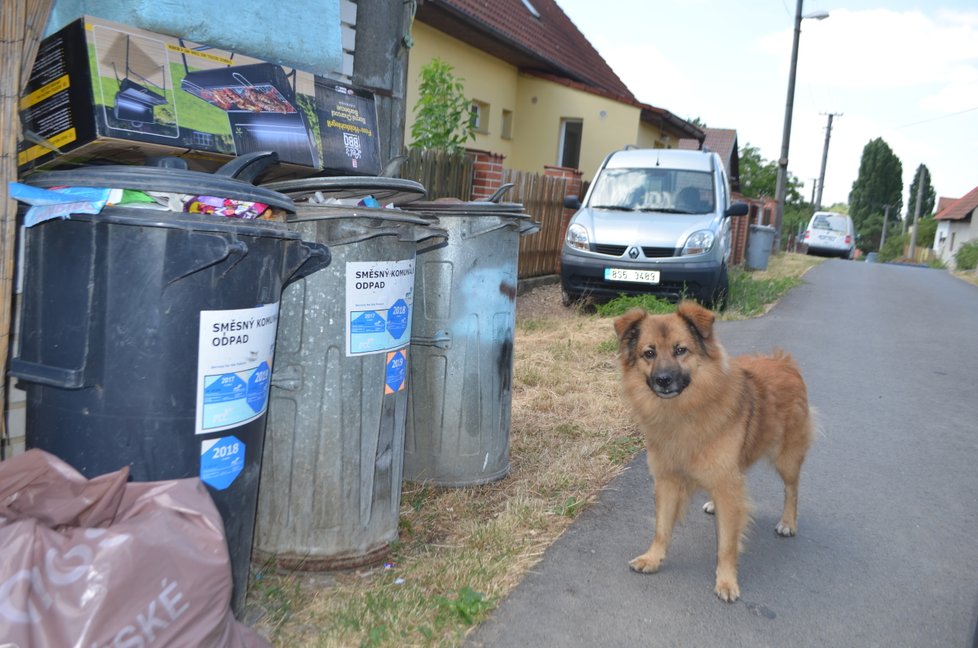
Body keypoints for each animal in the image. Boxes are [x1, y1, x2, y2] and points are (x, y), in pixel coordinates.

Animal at [612, 300, 812, 604]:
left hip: (786, 458)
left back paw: (788, 522)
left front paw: (727, 581)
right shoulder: (667, 479)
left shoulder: (727, 482)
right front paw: (653, 558)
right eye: (649, 353)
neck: (686, 411)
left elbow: (727, 543)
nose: (663, 380)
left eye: (681, 350)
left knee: (792, 488)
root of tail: (782, 361)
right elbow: (662, 528)